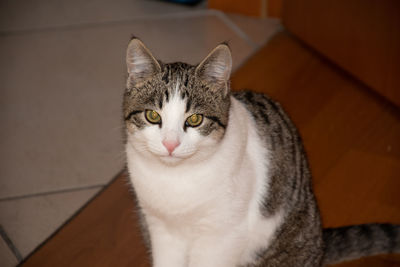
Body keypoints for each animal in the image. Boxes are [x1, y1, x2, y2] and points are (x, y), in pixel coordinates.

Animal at [123, 38, 398, 267]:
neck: (176, 179)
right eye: (152, 115)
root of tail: (320, 241)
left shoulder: (221, 237)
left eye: (195, 119)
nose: (170, 144)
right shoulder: (159, 227)